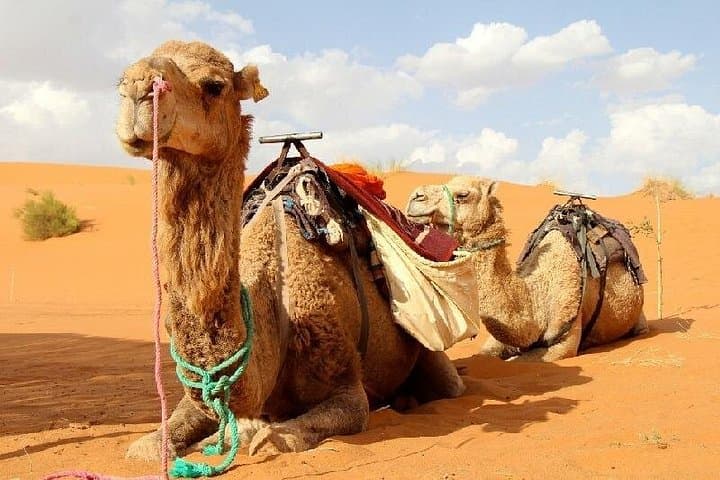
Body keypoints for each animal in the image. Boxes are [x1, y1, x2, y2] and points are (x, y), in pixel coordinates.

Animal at [115, 40, 464, 462]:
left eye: (214, 85)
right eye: (120, 79)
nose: (136, 87)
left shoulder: (346, 386)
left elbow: (284, 436)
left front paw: (251, 435)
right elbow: (148, 447)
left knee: (449, 385)